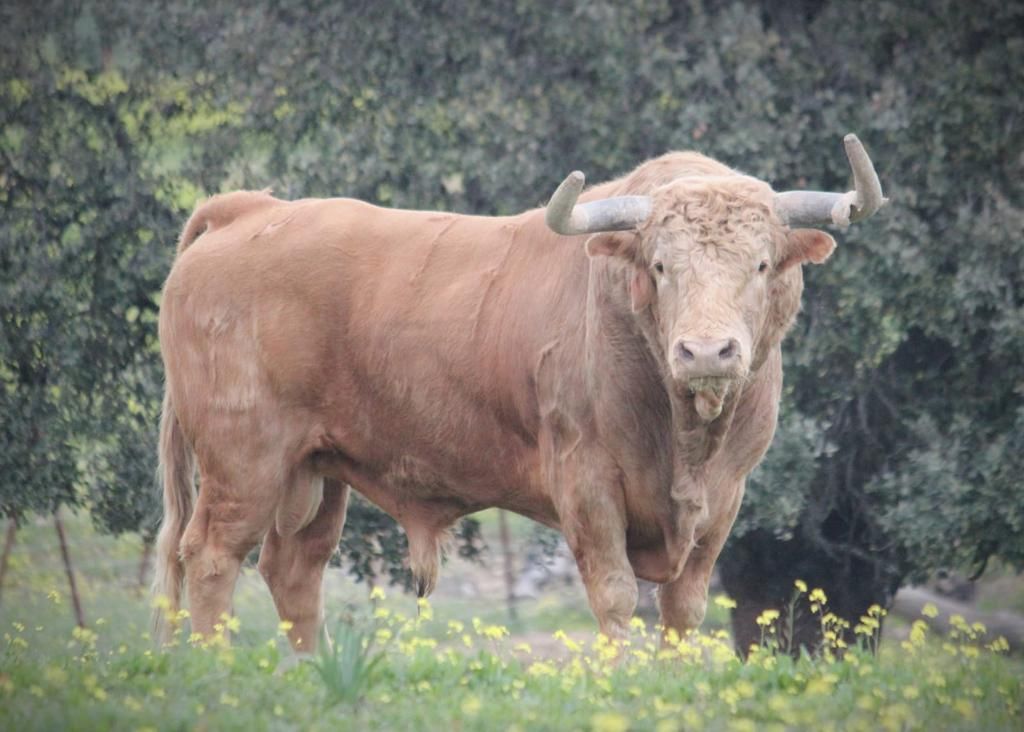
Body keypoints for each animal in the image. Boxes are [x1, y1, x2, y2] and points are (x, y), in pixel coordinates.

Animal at [153, 134, 888, 651]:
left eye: (761, 265)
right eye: (659, 265)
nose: (706, 352)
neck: (686, 438)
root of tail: (251, 209)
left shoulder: (724, 498)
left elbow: (683, 609)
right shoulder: (587, 482)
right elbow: (615, 596)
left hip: (315, 468)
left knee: (293, 570)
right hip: (245, 459)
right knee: (211, 557)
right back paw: (220, 669)